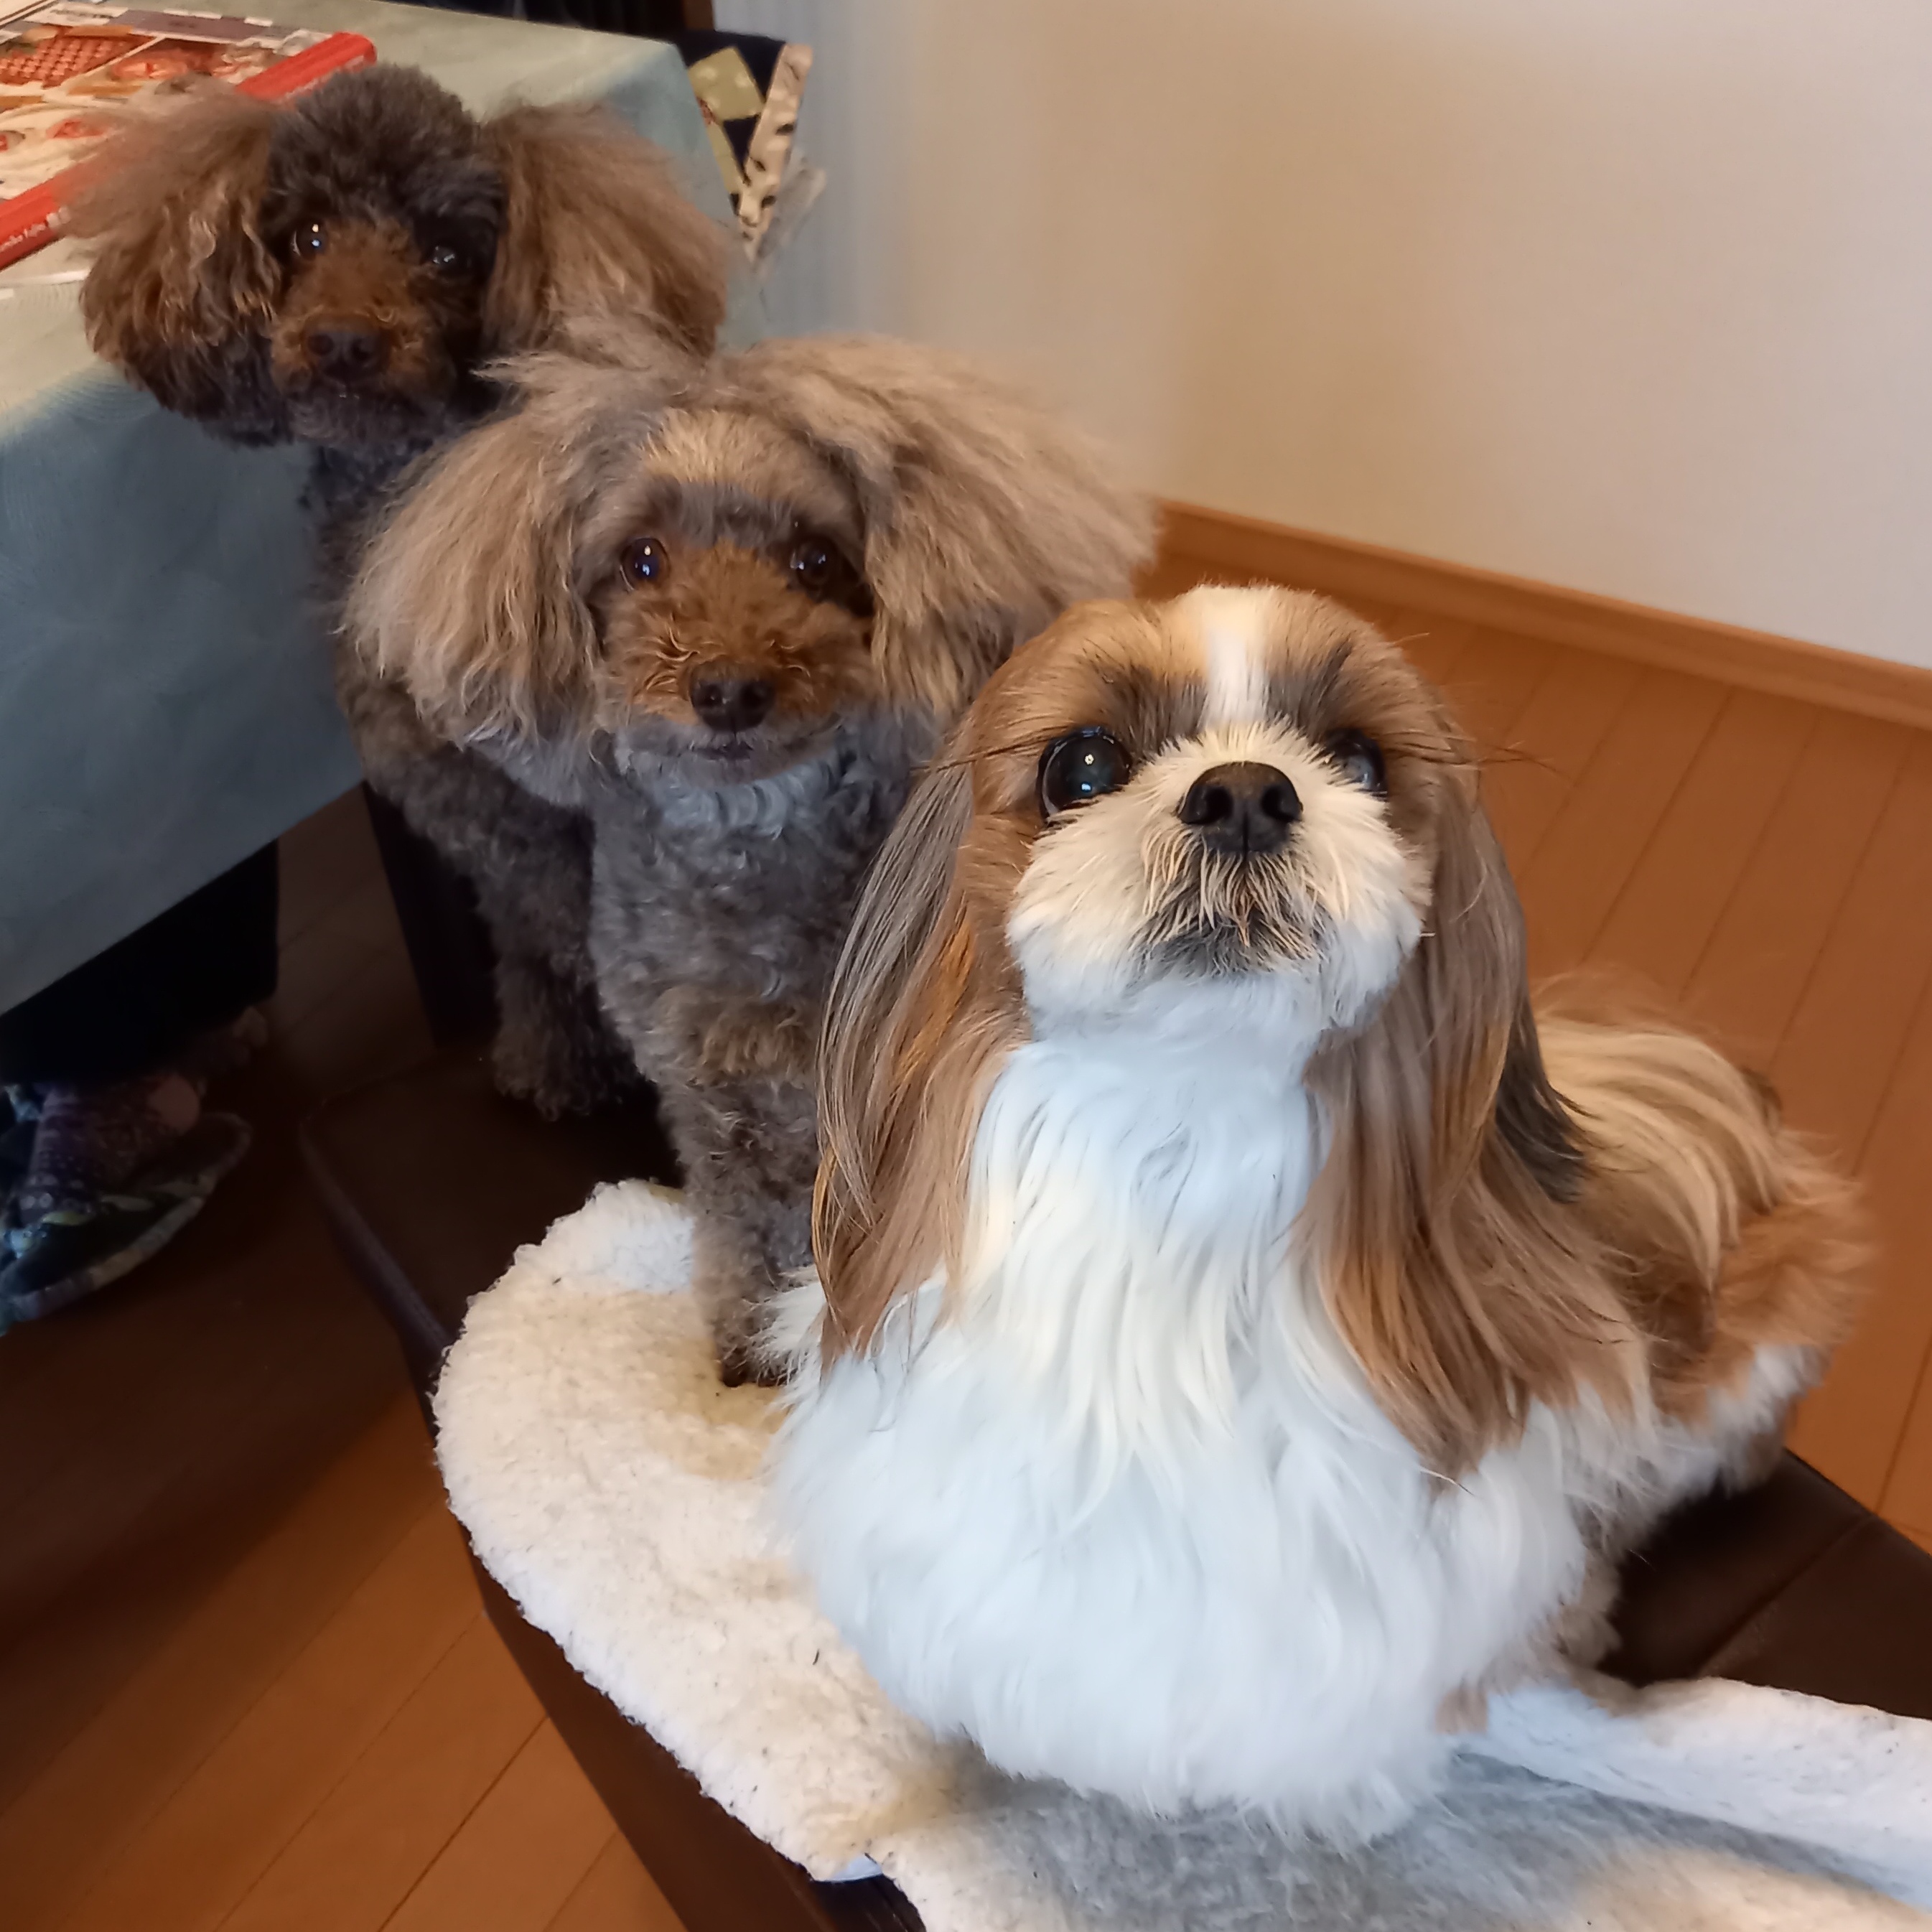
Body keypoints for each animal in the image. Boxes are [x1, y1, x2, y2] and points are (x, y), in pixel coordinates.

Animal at [71, 65, 731, 1114]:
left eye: (446, 251)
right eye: (306, 235)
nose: (344, 342)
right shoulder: (487, 823)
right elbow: (535, 940)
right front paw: (555, 1060)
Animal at [345, 327, 1153, 1378]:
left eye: (815, 559)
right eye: (641, 559)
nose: (728, 689)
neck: (752, 852)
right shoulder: (708, 1092)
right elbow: (744, 1221)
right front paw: (752, 1339)